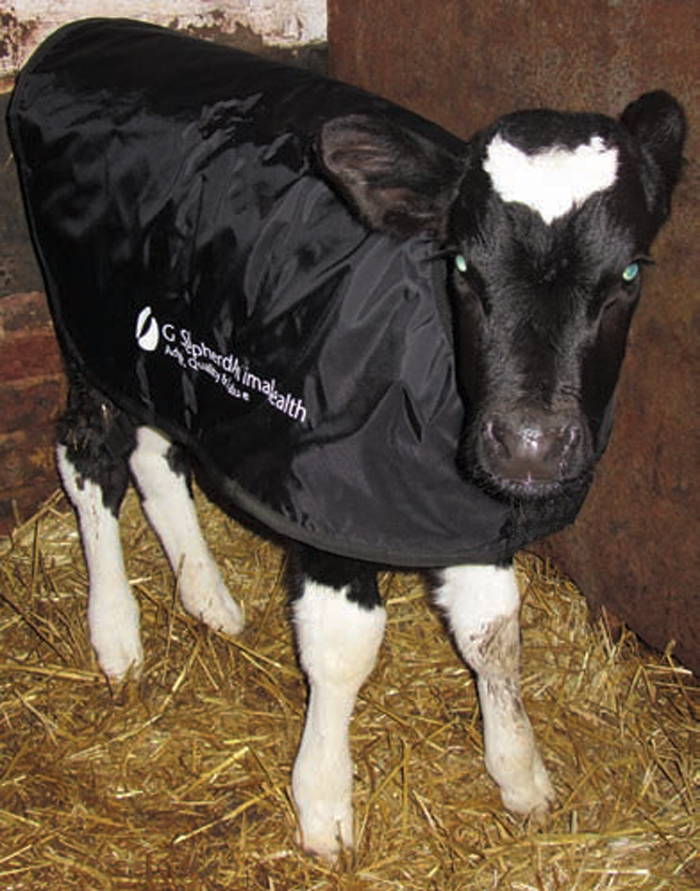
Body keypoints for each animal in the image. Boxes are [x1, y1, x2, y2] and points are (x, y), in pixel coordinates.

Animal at [8, 19, 685, 860]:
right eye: (464, 263)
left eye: (628, 273)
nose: (531, 443)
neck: (426, 364)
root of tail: (78, 35)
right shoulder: (330, 501)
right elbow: (344, 647)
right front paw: (324, 801)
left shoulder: (466, 511)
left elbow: (494, 631)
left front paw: (519, 772)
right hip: (87, 325)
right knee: (89, 451)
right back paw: (116, 632)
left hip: (162, 348)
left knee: (155, 449)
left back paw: (207, 593)